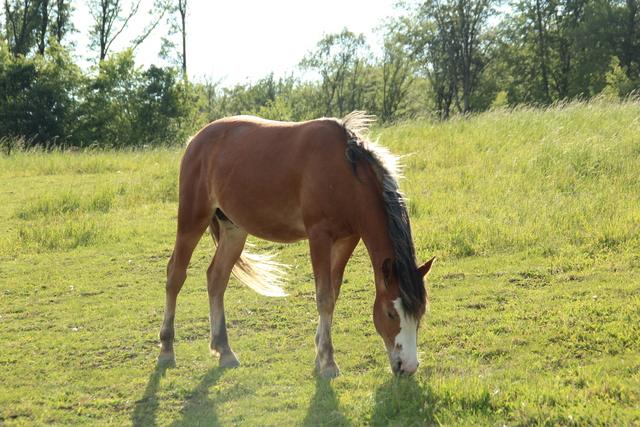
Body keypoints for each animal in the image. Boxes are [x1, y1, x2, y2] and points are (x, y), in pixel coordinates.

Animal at [158, 110, 436, 378]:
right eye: (390, 314)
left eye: (420, 313)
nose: (408, 366)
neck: (344, 173)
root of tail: (196, 139)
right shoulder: (319, 236)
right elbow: (324, 297)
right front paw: (328, 364)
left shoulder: (347, 239)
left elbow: (334, 291)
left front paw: (319, 355)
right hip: (192, 220)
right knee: (175, 275)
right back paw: (167, 351)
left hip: (234, 230)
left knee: (216, 278)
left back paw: (225, 352)